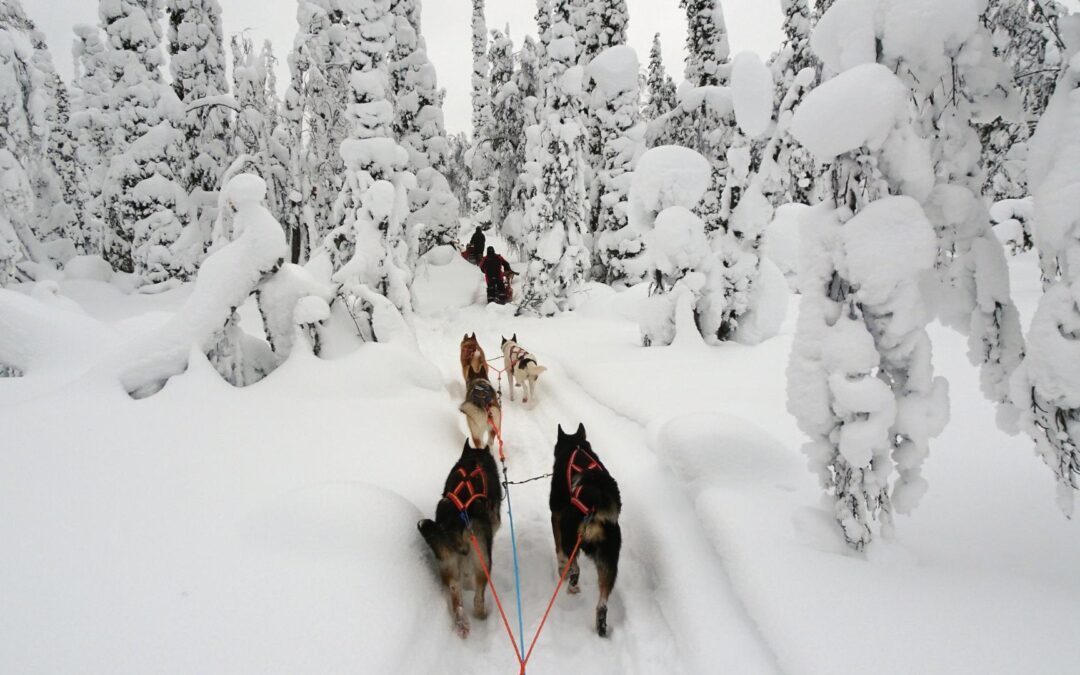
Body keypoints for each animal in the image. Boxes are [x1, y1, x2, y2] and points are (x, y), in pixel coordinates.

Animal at [416, 440, 501, 635]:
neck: (475, 458)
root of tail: (457, 518)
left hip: (446, 559)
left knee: (456, 592)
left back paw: (462, 623)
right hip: (483, 560)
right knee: (478, 598)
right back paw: (481, 615)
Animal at [548, 423, 626, 635]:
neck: (576, 446)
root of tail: (595, 508)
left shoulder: (555, 515)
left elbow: (558, 548)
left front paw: (560, 567)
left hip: (570, 538)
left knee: (575, 568)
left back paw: (571, 585)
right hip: (610, 561)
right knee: (602, 603)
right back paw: (601, 624)